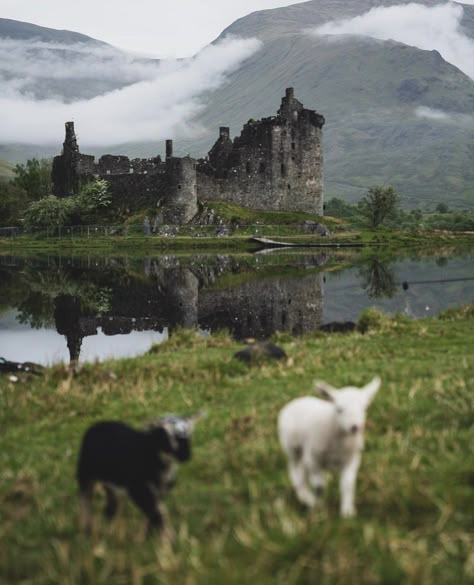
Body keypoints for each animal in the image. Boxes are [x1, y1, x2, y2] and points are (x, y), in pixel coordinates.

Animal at [77, 410, 205, 532]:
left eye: (190, 436)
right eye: (167, 436)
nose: (186, 456)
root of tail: (99, 423)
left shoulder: (159, 492)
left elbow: (154, 514)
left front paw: (150, 535)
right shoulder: (138, 488)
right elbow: (156, 514)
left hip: (109, 482)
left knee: (111, 504)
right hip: (85, 472)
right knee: (85, 500)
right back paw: (86, 529)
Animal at [278, 374, 382, 516]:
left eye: (365, 408)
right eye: (339, 409)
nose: (355, 427)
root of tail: (296, 400)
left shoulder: (352, 460)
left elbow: (347, 485)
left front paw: (347, 512)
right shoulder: (313, 459)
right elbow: (320, 486)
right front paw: (319, 508)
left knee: (303, 471)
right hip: (292, 448)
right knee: (295, 471)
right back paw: (306, 497)